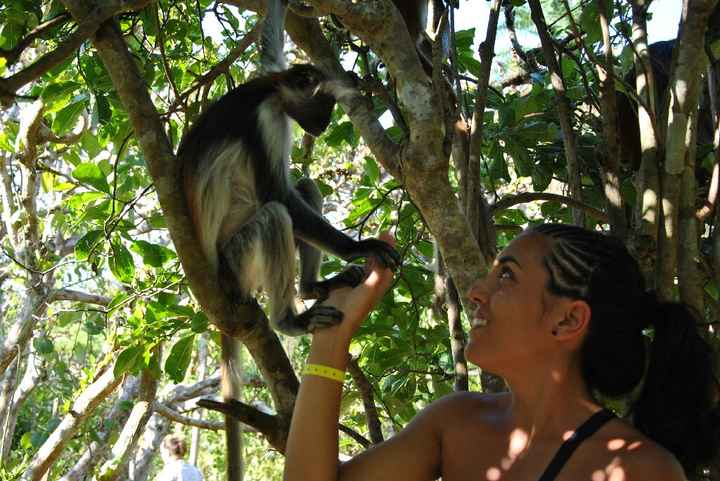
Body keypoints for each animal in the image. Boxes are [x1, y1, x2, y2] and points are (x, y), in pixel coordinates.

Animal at [175, 0, 400, 336]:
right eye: (326, 106)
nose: (323, 126)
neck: (272, 89)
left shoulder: (273, 71)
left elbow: (270, 42)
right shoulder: (265, 118)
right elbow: (275, 193)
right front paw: (360, 247)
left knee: (305, 187)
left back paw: (310, 287)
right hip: (236, 261)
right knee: (276, 215)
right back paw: (289, 321)